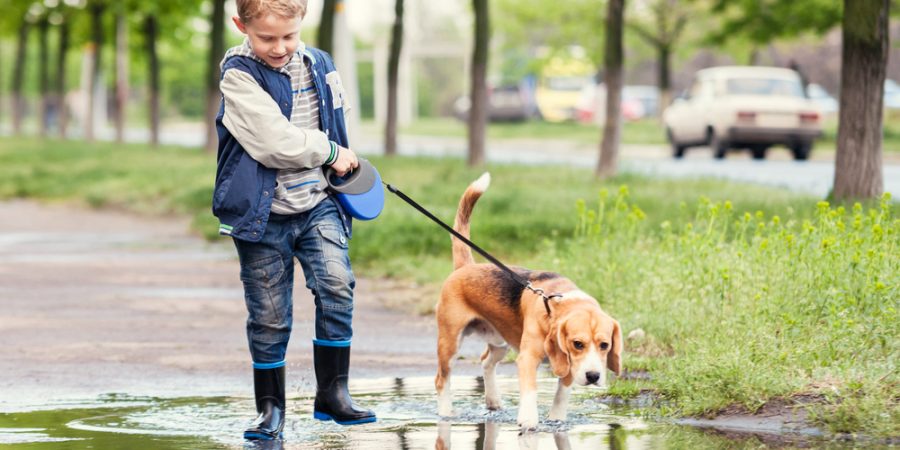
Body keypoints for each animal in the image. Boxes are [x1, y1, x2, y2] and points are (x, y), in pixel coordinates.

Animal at [434, 172, 620, 428]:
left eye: (605, 345)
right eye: (578, 344)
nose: (593, 376)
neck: (554, 304)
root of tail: (467, 266)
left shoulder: (567, 364)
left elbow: (562, 394)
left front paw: (556, 419)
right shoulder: (528, 358)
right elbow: (530, 390)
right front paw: (529, 421)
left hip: (500, 341)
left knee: (486, 362)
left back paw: (493, 401)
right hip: (450, 343)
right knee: (441, 379)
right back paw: (446, 413)